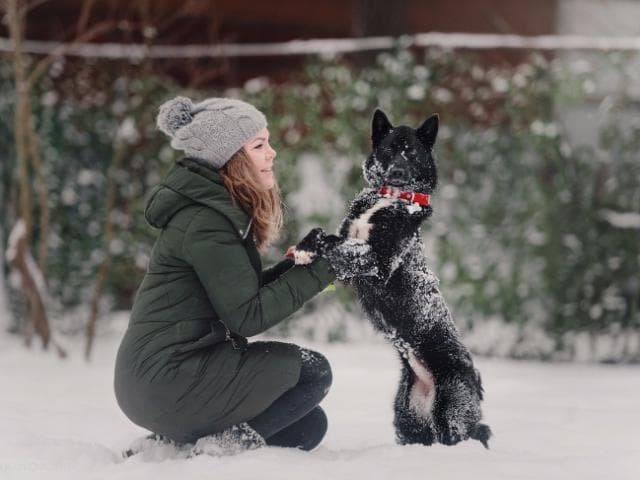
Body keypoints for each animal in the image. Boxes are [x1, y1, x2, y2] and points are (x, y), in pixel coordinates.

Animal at [292, 110, 492, 448]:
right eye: (388, 149)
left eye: (411, 152)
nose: (397, 170)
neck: (391, 198)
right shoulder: (351, 254)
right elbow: (325, 234)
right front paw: (304, 247)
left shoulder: (380, 263)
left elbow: (339, 245)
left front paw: (309, 249)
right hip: (407, 419)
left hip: (451, 413)